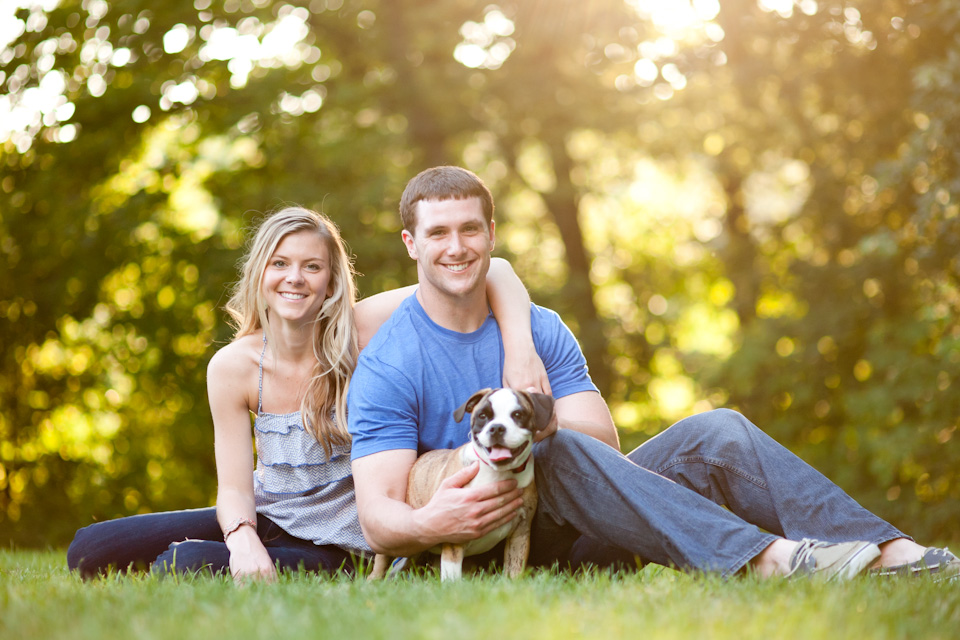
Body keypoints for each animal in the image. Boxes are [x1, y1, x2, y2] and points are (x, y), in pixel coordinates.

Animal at [372, 388, 560, 584]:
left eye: (518, 415)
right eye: (482, 416)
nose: (497, 428)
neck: (496, 472)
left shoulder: (520, 534)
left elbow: (514, 569)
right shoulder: (455, 532)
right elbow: (452, 573)